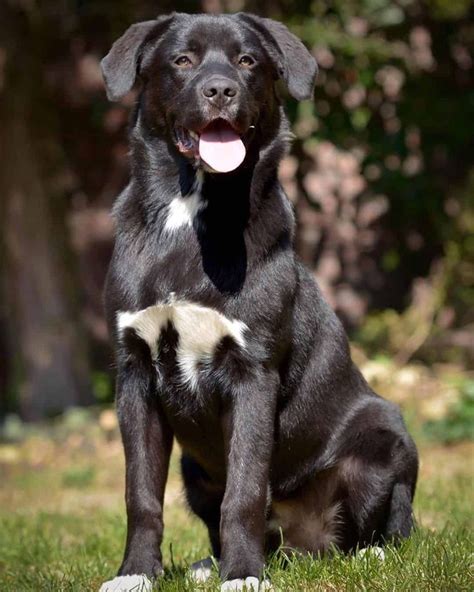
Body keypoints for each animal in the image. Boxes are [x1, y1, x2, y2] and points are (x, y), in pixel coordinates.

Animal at [98, 10, 416, 592]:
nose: (221, 90)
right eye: (182, 60)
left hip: (384, 441)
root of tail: (303, 548)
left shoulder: (253, 372)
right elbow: (141, 494)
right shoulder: (134, 372)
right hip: (195, 470)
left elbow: (244, 491)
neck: (191, 214)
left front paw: (243, 576)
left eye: (247, 60)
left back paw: (368, 556)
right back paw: (210, 564)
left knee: (390, 526)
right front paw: (135, 574)